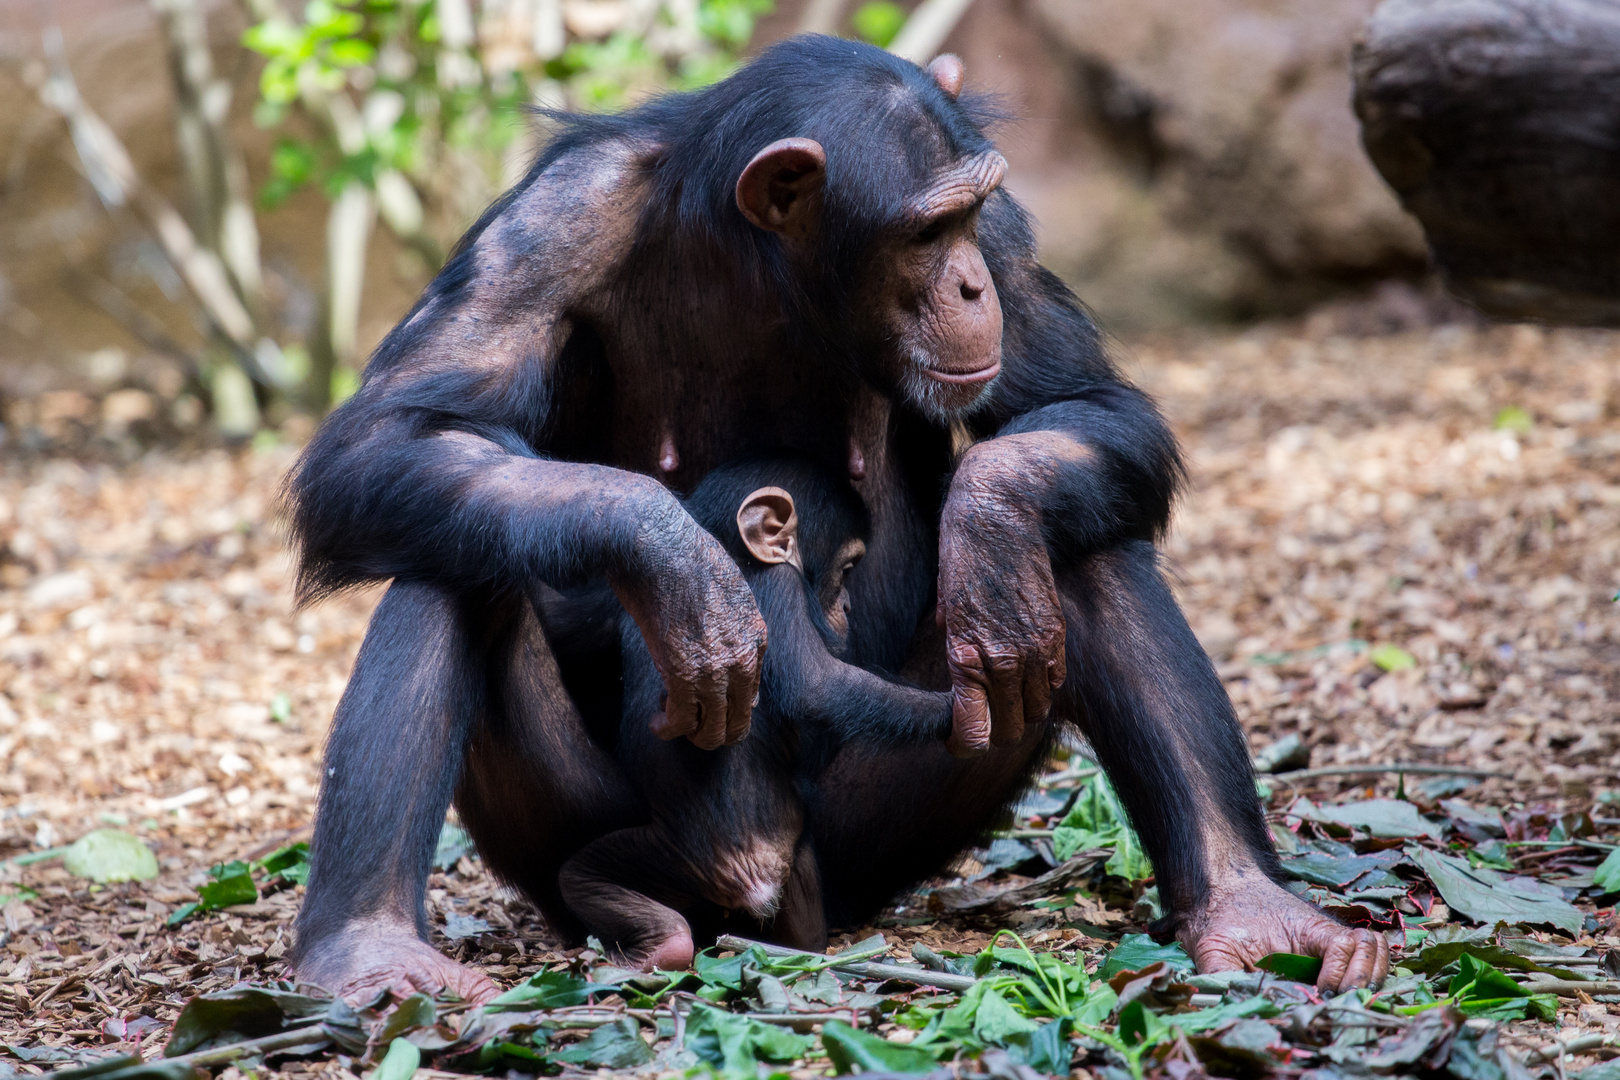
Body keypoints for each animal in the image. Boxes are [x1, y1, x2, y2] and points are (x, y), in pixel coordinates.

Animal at [560, 453, 952, 971]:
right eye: (848, 568)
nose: (849, 605)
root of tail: (747, 878)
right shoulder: (778, 583)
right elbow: (817, 685)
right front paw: (962, 710)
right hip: (674, 857)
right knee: (582, 875)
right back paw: (659, 946)